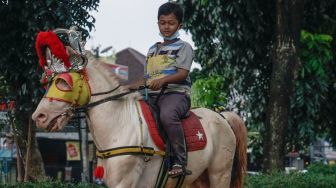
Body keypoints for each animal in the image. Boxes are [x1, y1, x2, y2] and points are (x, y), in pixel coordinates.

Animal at [32, 53, 247, 187]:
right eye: (50, 81)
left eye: (63, 82)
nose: (39, 116)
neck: (120, 124)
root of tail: (222, 116)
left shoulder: (124, 182)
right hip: (199, 179)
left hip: (219, 174)